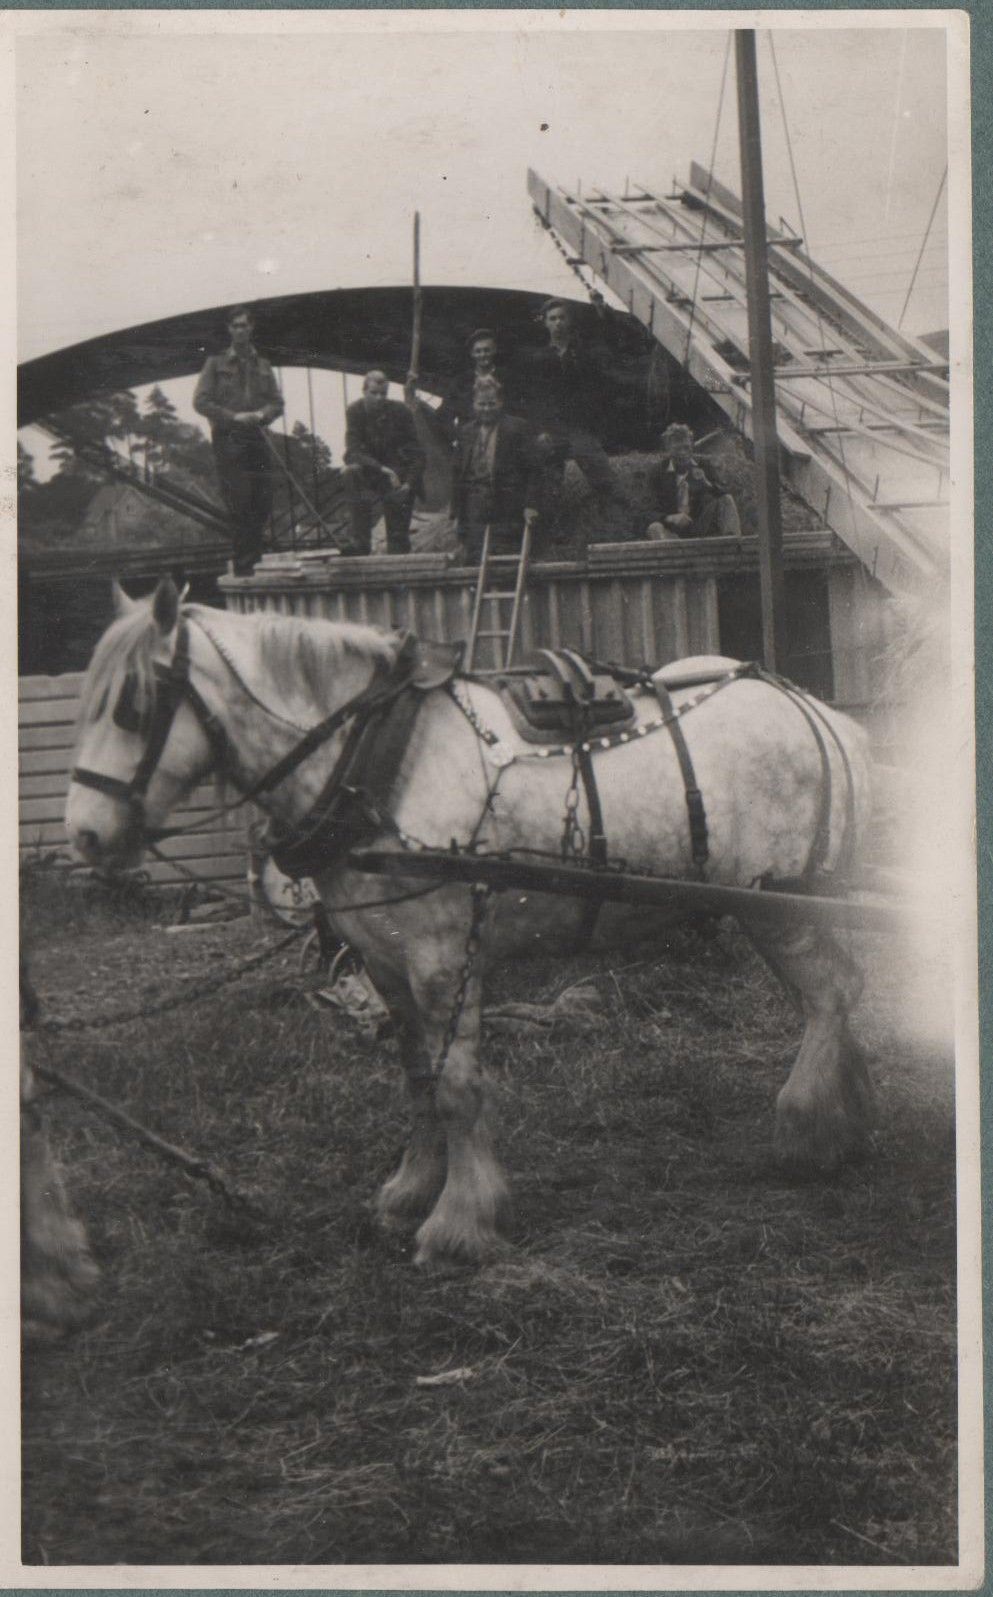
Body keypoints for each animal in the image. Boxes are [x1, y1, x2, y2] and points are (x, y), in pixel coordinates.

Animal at [70, 581, 874, 1264]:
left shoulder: (441, 957)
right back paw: (846, 1117)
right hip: (774, 906)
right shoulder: (385, 962)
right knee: (834, 996)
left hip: (777, 903)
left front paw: (460, 1222)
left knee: (829, 996)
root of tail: (811, 710)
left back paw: (805, 1129)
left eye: (135, 704)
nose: (82, 836)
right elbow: (416, 1077)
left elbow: (457, 1086)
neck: (375, 762)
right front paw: (407, 1193)